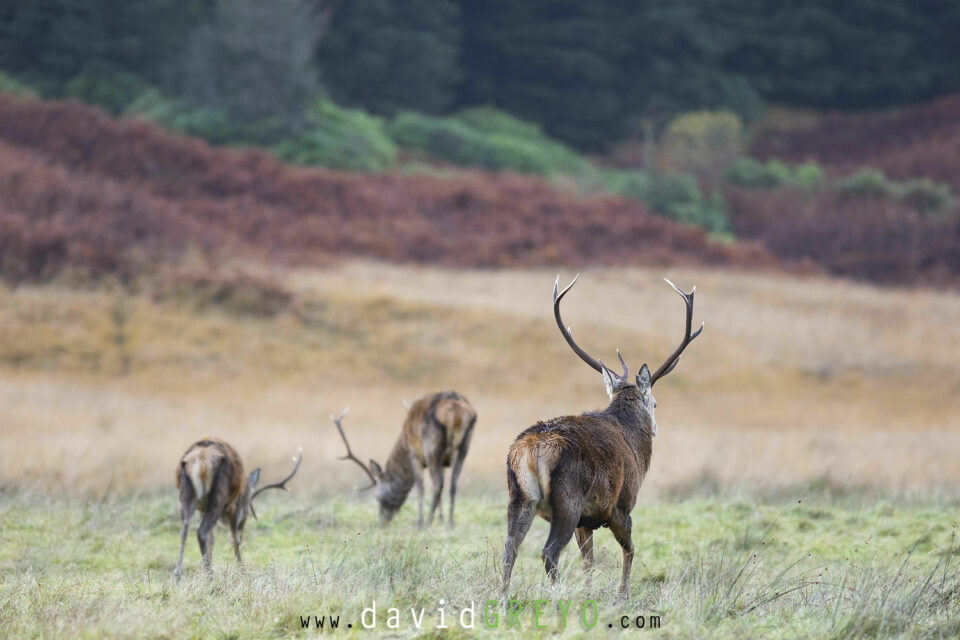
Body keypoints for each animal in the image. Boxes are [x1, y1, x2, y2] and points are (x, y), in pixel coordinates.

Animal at [174, 440, 302, 576]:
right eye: (248, 510)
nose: (243, 524)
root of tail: (201, 460)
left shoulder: (202, 510)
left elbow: (212, 539)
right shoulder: (233, 508)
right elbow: (234, 539)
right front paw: (242, 571)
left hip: (187, 494)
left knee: (184, 530)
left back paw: (178, 573)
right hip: (218, 498)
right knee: (202, 531)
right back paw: (210, 575)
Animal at [332, 390, 478, 524]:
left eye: (377, 496)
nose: (382, 522)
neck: (404, 441)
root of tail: (455, 412)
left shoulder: (414, 455)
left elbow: (420, 487)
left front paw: (420, 522)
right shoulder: (442, 462)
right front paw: (441, 520)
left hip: (432, 447)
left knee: (438, 484)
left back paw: (427, 522)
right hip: (464, 447)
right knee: (453, 483)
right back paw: (450, 523)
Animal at [502, 276, 696, 600]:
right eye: (656, 403)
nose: (657, 428)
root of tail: (532, 448)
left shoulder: (587, 521)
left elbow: (588, 561)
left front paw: (589, 593)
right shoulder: (620, 506)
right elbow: (629, 550)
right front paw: (622, 595)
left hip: (519, 496)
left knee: (509, 547)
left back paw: (503, 596)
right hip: (567, 499)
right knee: (549, 552)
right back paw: (558, 596)